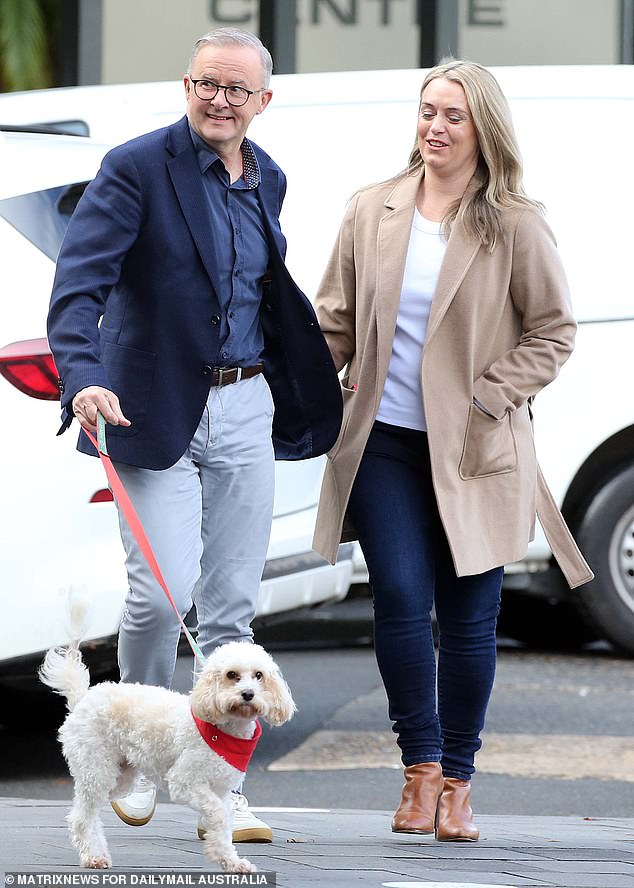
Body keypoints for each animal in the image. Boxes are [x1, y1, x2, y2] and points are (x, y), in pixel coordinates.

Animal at [39, 640, 294, 876]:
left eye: (259, 675)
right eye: (232, 675)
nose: (248, 694)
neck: (221, 729)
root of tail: (82, 698)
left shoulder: (221, 791)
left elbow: (222, 824)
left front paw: (230, 862)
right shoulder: (184, 782)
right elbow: (219, 815)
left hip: (118, 777)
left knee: (89, 810)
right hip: (97, 768)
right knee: (81, 817)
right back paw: (93, 856)